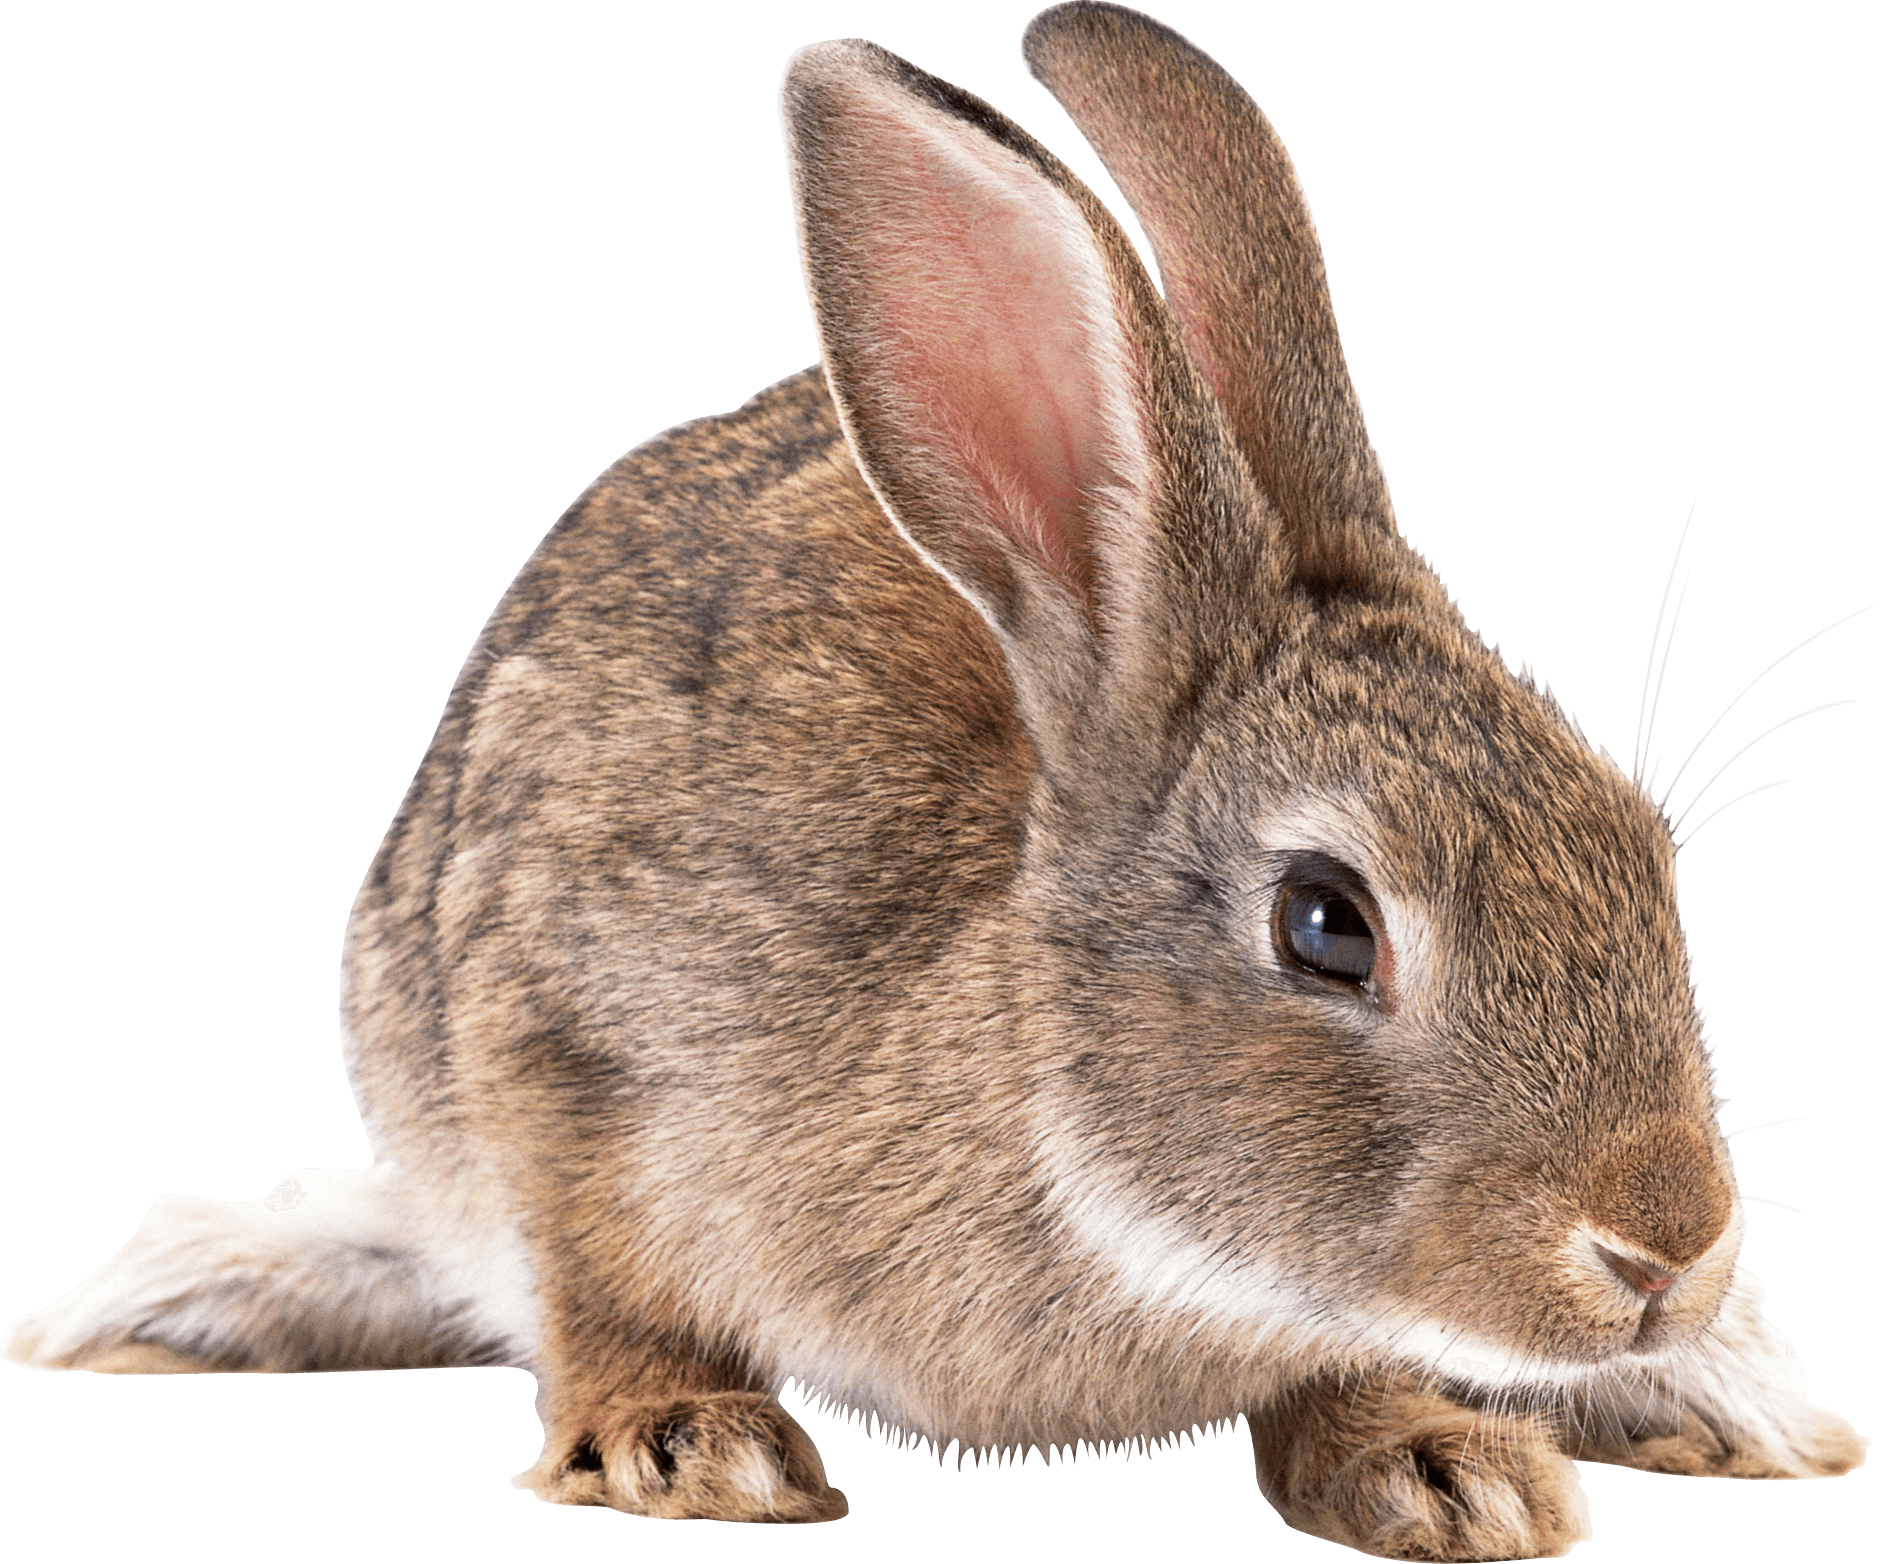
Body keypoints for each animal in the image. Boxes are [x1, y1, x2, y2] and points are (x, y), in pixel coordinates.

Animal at [4, 2, 1866, 1556]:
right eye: (1329, 923)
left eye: (1642, 853)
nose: (1670, 1250)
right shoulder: (553, 1034)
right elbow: (598, 1276)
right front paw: (686, 1444)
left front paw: (1442, 1467)